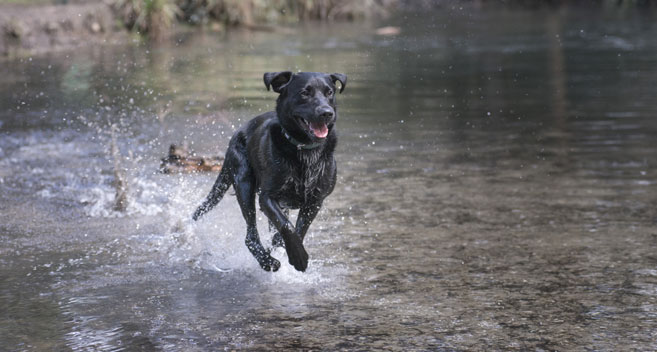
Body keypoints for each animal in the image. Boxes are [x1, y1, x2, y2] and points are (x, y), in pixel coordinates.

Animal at [192, 71, 346, 272]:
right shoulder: (267, 197)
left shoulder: (315, 201)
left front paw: (287, 246)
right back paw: (267, 261)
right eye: (305, 93)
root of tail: (238, 132)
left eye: (329, 92)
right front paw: (298, 257)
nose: (326, 112)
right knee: (250, 236)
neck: (304, 149)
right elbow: (287, 225)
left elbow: (298, 228)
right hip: (244, 183)